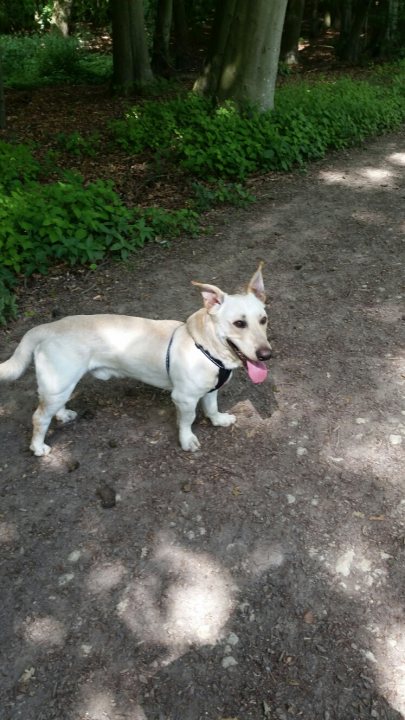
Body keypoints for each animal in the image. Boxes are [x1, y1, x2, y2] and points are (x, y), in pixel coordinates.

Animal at [1, 264, 272, 456]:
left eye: (263, 319)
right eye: (239, 323)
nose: (266, 355)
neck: (205, 346)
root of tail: (46, 328)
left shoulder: (211, 390)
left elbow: (212, 406)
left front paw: (218, 420)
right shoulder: (183, 398)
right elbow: (188, 420)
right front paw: (187, 440)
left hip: (60, 385)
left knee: (51, 410)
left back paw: (63, 415)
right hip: (59, 384)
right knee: (39, 418)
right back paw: (38, 448)